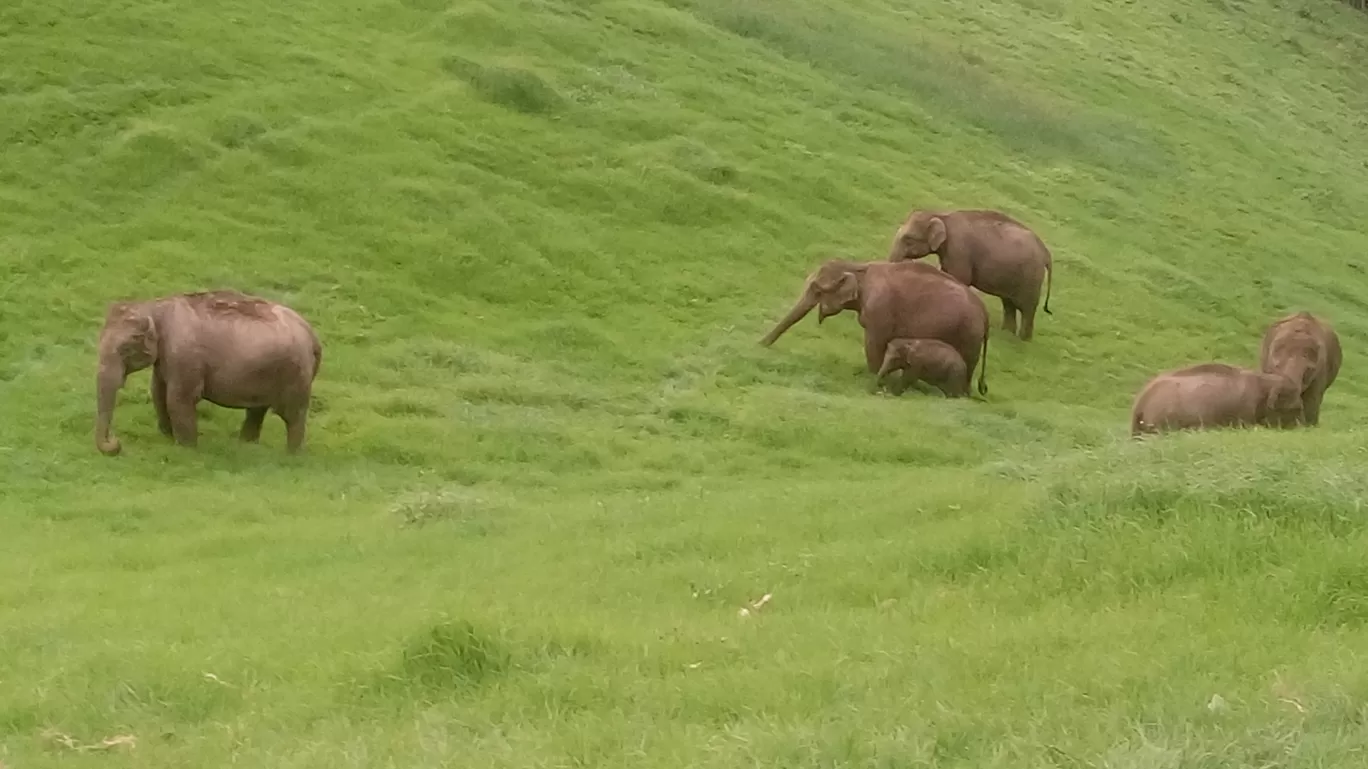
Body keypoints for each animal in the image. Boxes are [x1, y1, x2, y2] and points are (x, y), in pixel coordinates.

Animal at [93, 288, 322, 454]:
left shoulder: (185, 355)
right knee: (257, 409)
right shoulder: (168, 357)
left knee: (292, 415)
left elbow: (178, 399)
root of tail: (312, 335)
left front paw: (186, 449)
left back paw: (291, 456)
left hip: (295, 373)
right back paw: (246, 446)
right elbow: (158, 392)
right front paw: (167, 438)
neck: (154, 307)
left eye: (124, 349)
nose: (115, 442)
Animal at [760, 257, 995, 394]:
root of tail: (986, 315)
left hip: (968, 336)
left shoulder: (878, 312)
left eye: (817, 290)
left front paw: (872, 378)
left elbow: (874, 344)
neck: (859, 268)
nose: (760, 344)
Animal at [886, 206, 1056, 337]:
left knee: (1027, 309)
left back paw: (1021, 340)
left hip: (1031, 277)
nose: (906, 260)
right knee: (1008, 304)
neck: (942, 216)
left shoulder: (959, 250)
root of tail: (1046, 253)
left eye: (909, 239)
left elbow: (960, 278)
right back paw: (1006, 334)